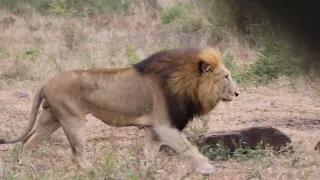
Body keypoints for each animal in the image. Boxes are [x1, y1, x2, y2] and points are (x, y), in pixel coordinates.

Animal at [0, 46, 238, 174]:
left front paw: (150, 171)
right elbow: (188, 148)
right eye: (226, 77)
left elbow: (150, 152)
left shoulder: (154, 128)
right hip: (72, 119)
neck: (187, 83)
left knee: (28, 141)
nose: (237, 94)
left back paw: (25, 165)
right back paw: (92, 171)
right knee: (77, 154)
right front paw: (207, 168)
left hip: (51, 118)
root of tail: (47, 81)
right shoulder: (165, 126)